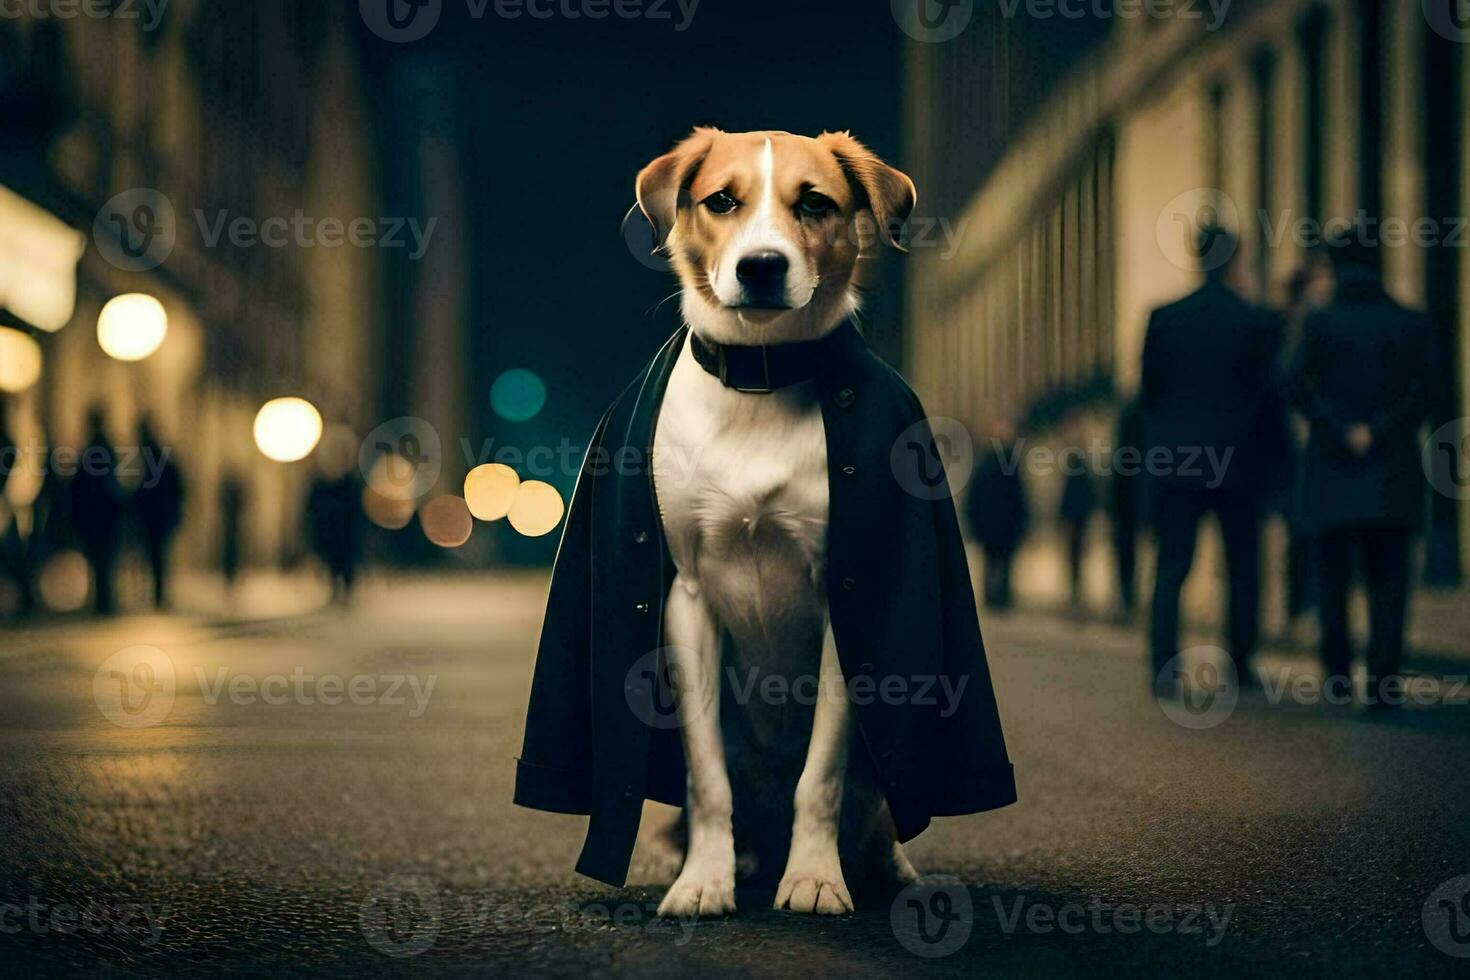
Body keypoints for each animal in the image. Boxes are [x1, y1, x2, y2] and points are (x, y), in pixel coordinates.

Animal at [640, 126, 923, 916]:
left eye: (815, 203)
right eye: (722, 201)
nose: (761, 266)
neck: (762, 380)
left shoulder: (845, 598)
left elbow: (820, 776)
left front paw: (814, 877)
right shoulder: (688, 598)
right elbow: (706, 775)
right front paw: (703, 881)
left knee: (872, 813)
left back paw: (884, 866)